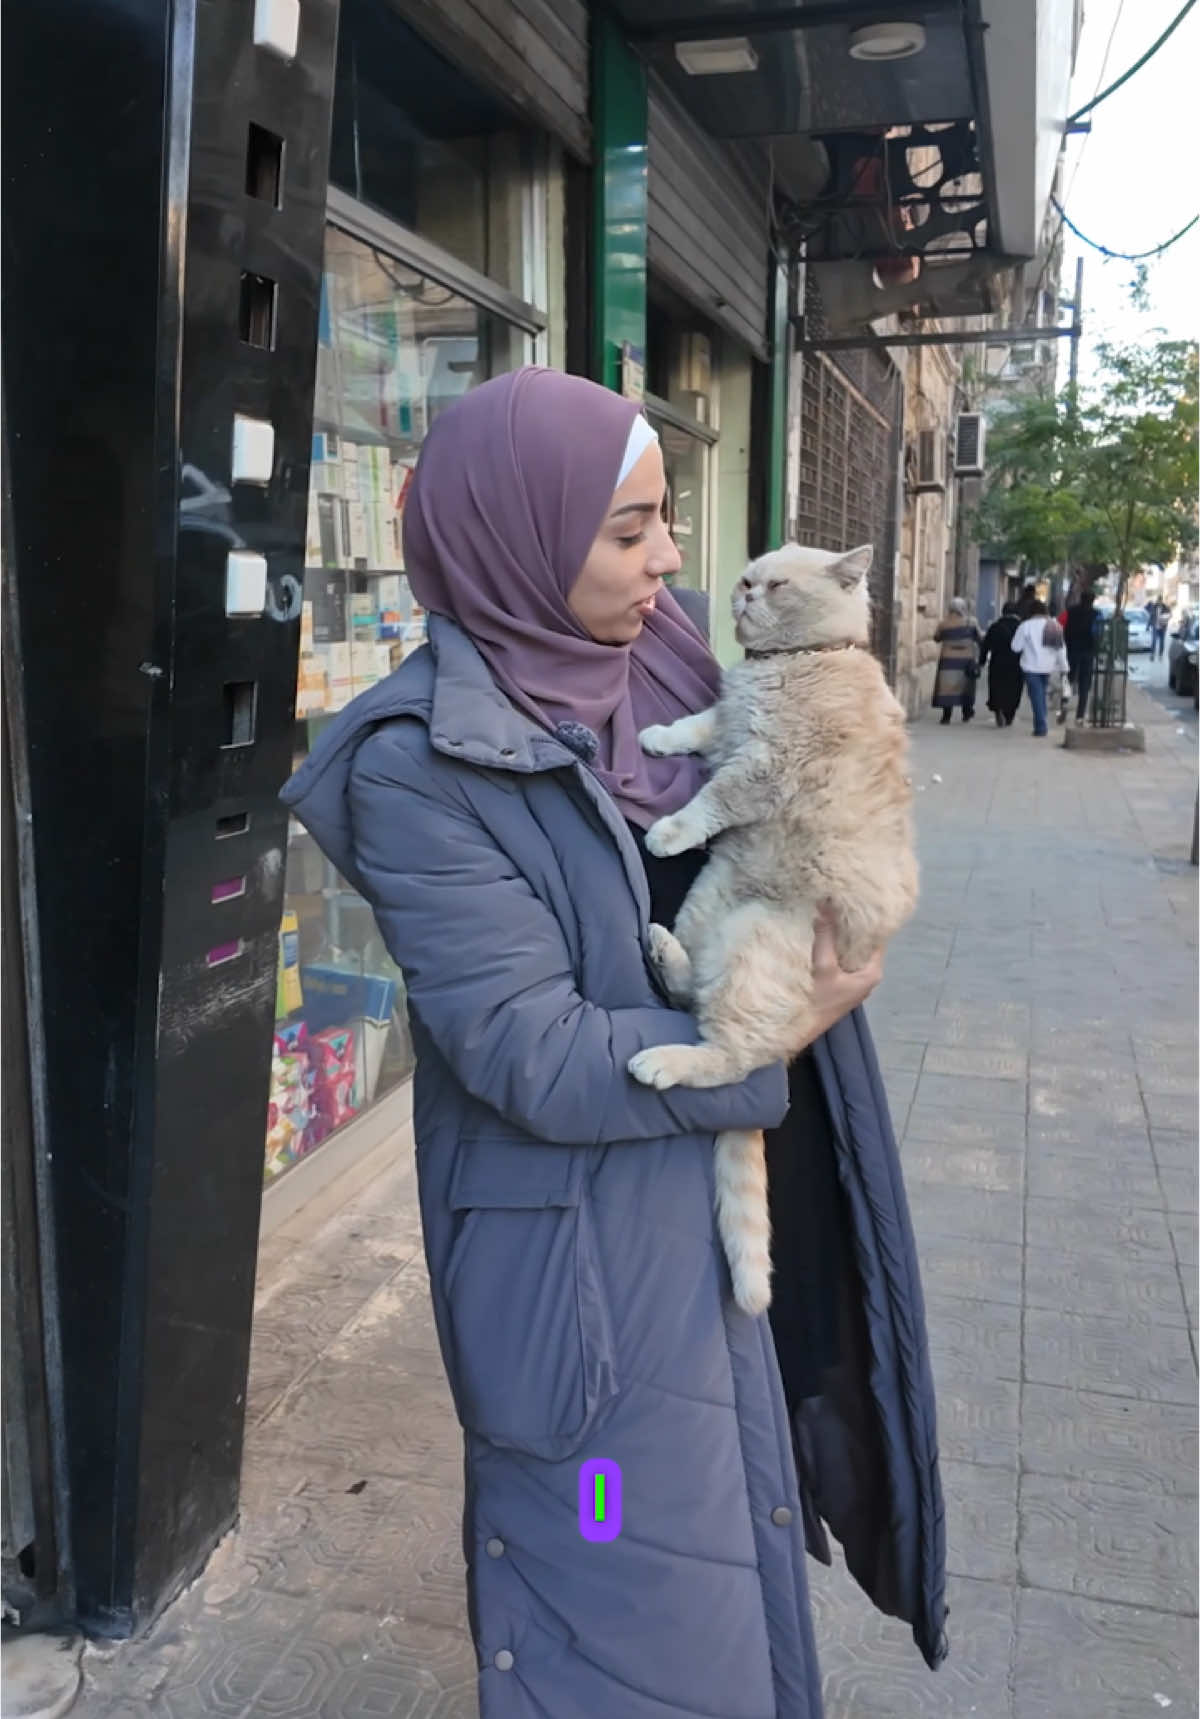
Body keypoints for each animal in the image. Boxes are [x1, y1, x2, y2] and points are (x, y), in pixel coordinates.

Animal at [625, 543, 914, 1306]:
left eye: (777, 584)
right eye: (749, 575)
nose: (742, 593)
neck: (798, 661)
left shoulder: (762, 769)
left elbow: (708, 799)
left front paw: (666, 830)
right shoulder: (728, 725)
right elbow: (696, 723)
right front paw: (656, 734)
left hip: (754, 946)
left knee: (730, 1056)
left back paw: (662, 1061)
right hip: (709, 905)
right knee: (692, 996)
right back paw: (661, 951)